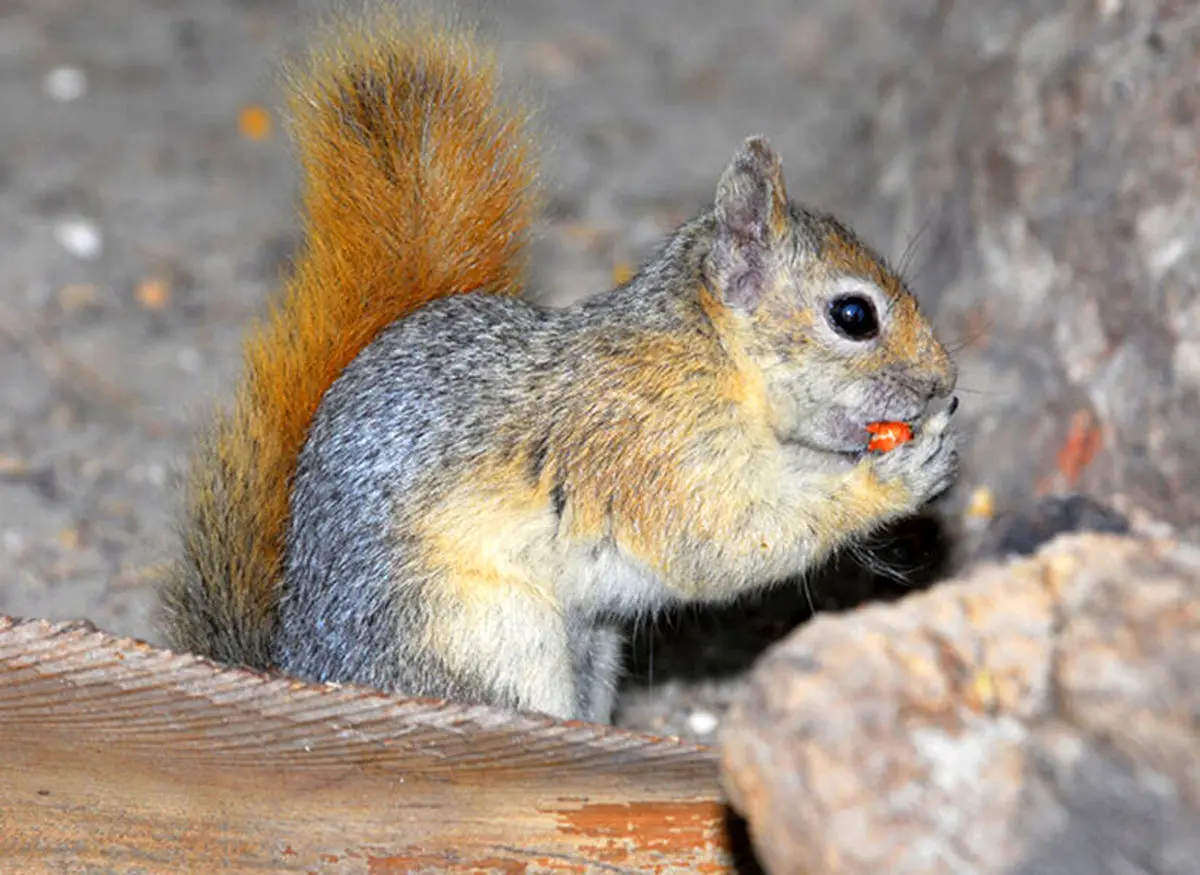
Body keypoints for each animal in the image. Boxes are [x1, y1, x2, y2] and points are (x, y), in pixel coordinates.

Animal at [159, 15, 955, 724]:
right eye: (853, 315)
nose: (942, 384)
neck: (713, 359)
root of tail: (305, 672)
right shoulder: (644, 450)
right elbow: (727, 539)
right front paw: (898, 475)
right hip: (493, 641)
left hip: (591, 647)